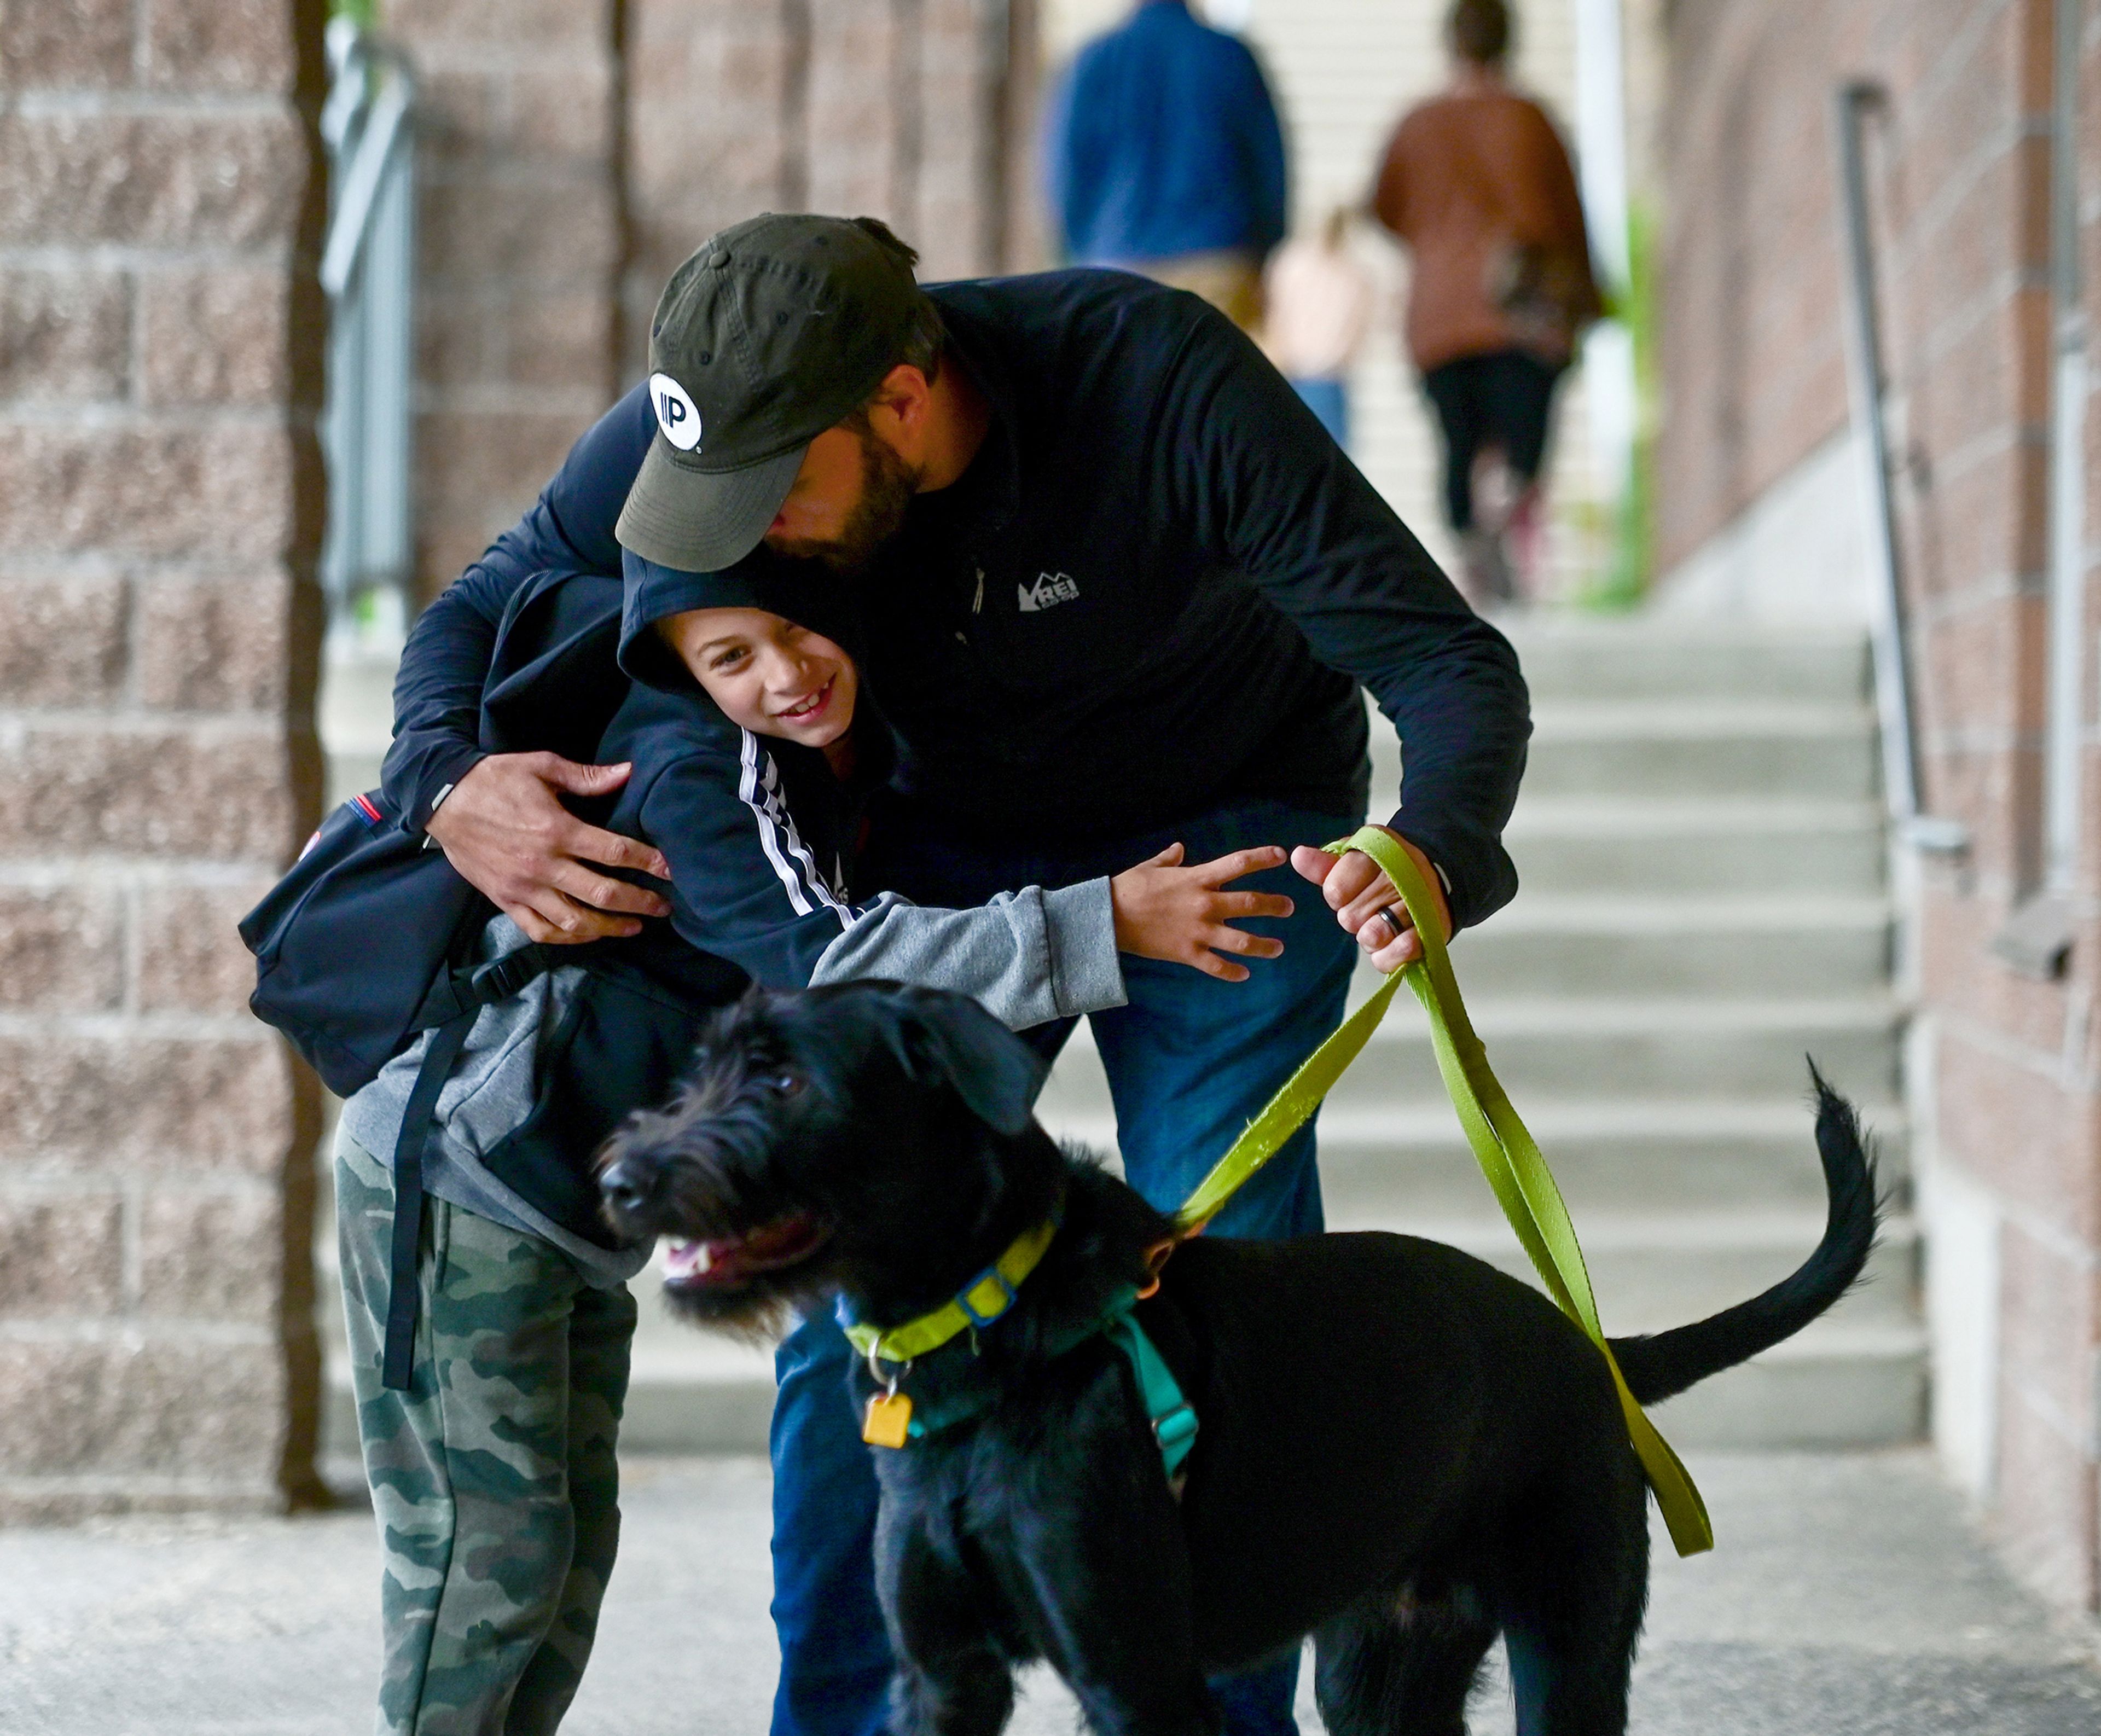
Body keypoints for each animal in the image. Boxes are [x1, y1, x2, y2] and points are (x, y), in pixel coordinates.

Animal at [601, 979, 1882, 1732]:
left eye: (783, 1076)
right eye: (698, 1069)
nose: (619, 1179)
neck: (992, 1328)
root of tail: (1594, 1350)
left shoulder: (1135, 1676)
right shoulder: (943, 1675)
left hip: (1568, 1645)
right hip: (1380, 1671)